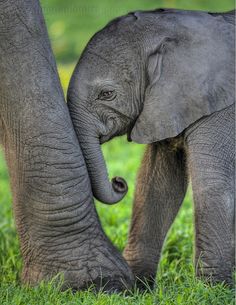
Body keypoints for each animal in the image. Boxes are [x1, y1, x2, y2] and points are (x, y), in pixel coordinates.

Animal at [67, 9, 235, 284]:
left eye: (106, 94)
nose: (118, 181)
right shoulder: (166, 104)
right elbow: (158, 183)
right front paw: (137, 284)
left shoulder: (220, 108)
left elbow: (212, 182)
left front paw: (213, 287)